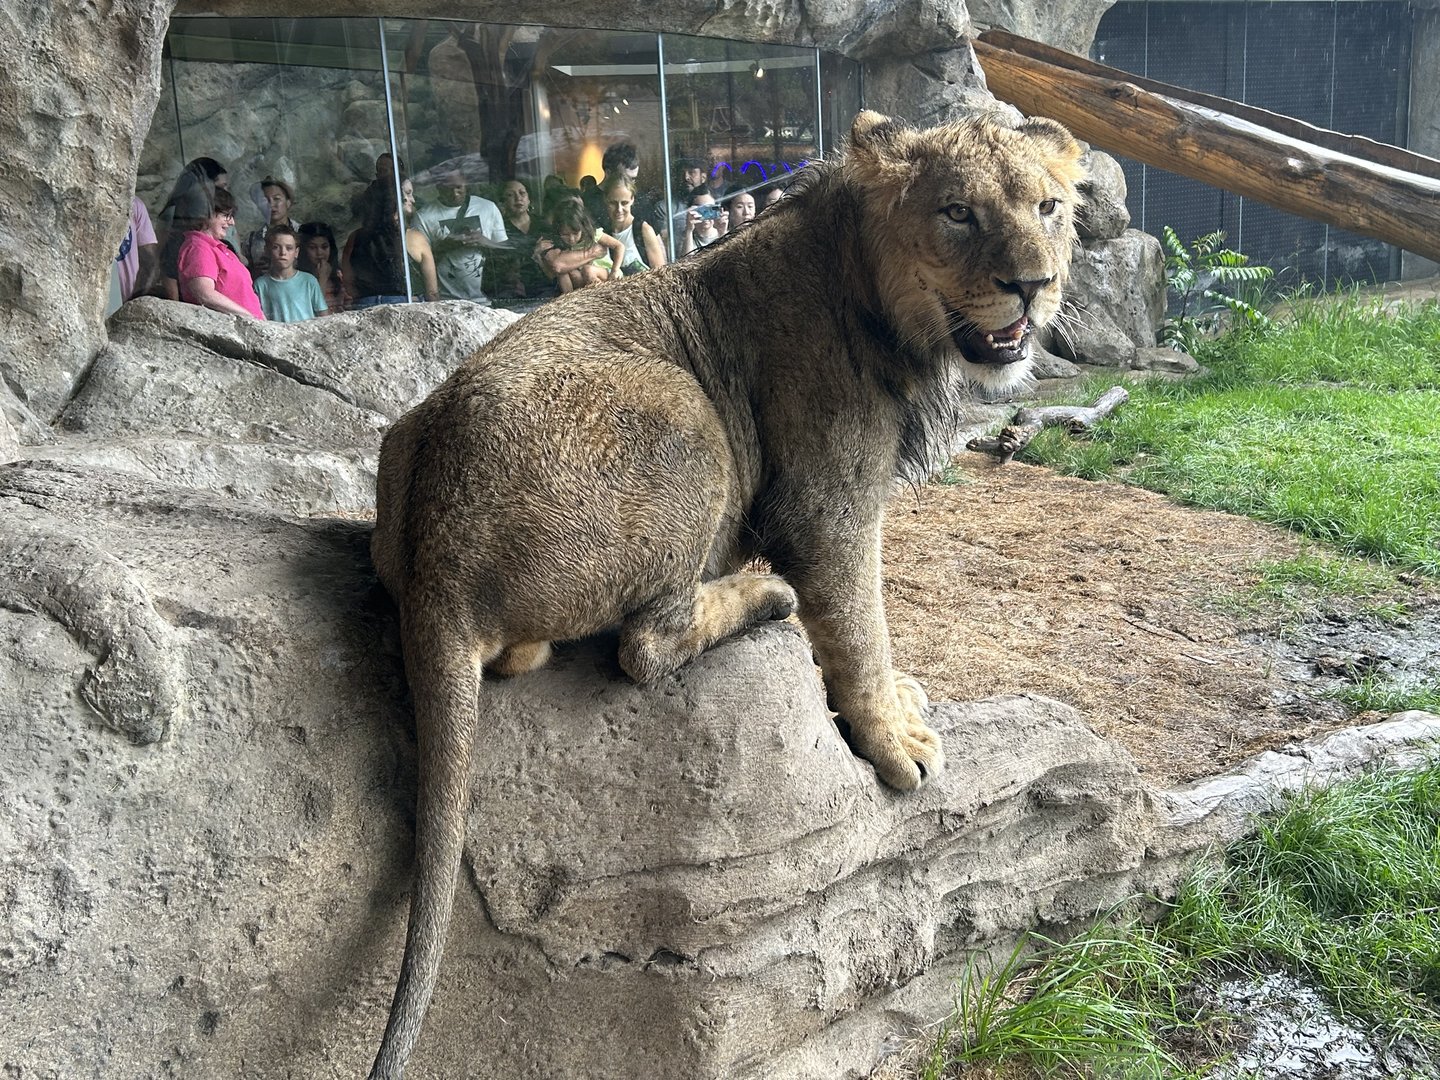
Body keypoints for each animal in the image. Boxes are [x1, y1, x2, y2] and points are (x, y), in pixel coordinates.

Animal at [365, 108, 1084, 1079]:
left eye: (1049, 208)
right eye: (959, 213)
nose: (1032, 287)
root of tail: (437, 564)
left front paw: (894, 702)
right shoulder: (828, 503)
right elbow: (861, 624)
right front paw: (893, 739)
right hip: (688, 414)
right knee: (645, 642)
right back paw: (763, 598)